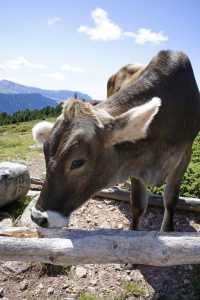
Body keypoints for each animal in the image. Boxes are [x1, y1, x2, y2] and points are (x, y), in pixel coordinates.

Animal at [30, 51, 200, 240]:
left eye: (77, 162)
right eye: (45, 153)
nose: (38, 218)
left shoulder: (185, 155)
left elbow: (170, 201)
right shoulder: (134, 159)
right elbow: (138, 205)